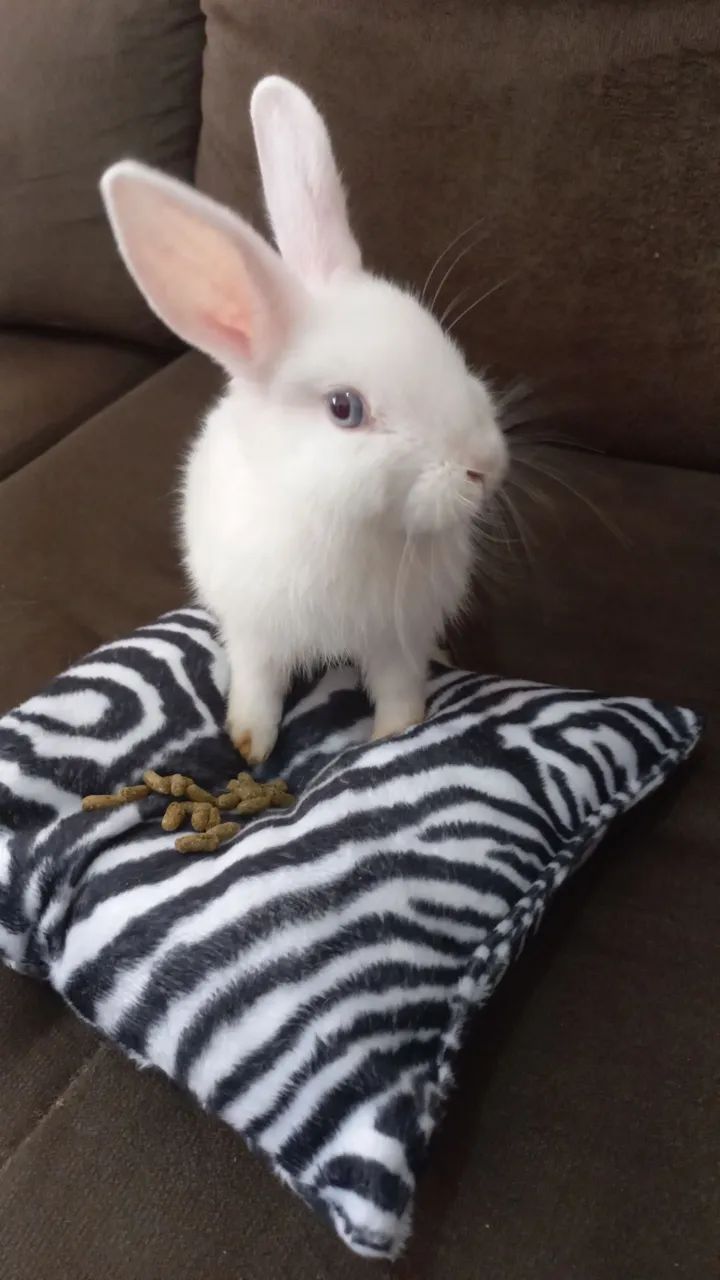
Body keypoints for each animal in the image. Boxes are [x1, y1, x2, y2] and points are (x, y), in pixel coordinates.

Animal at [100, 76, 508, 764]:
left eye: (442, 343)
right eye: (346, 408)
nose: (485, 466)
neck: (344, 523)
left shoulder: (397, 634)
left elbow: (400, 689)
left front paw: (395, 736)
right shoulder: (255, 628)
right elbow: (258, 683)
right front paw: (247, 745)